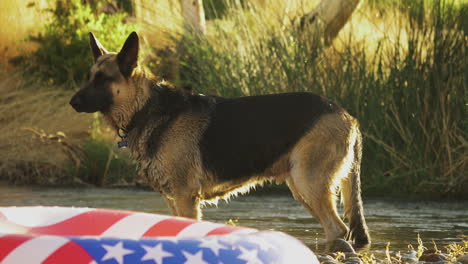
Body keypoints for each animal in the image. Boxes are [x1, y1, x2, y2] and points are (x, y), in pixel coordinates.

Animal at [69, 32, 370, 246]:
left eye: (102, 79)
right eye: (89, 77)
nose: (72, 103)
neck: (146, 107)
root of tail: (348, 116)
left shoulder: (186, 198)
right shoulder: (173, 200)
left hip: (309, 184)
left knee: (338, 230)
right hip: (301, 187)